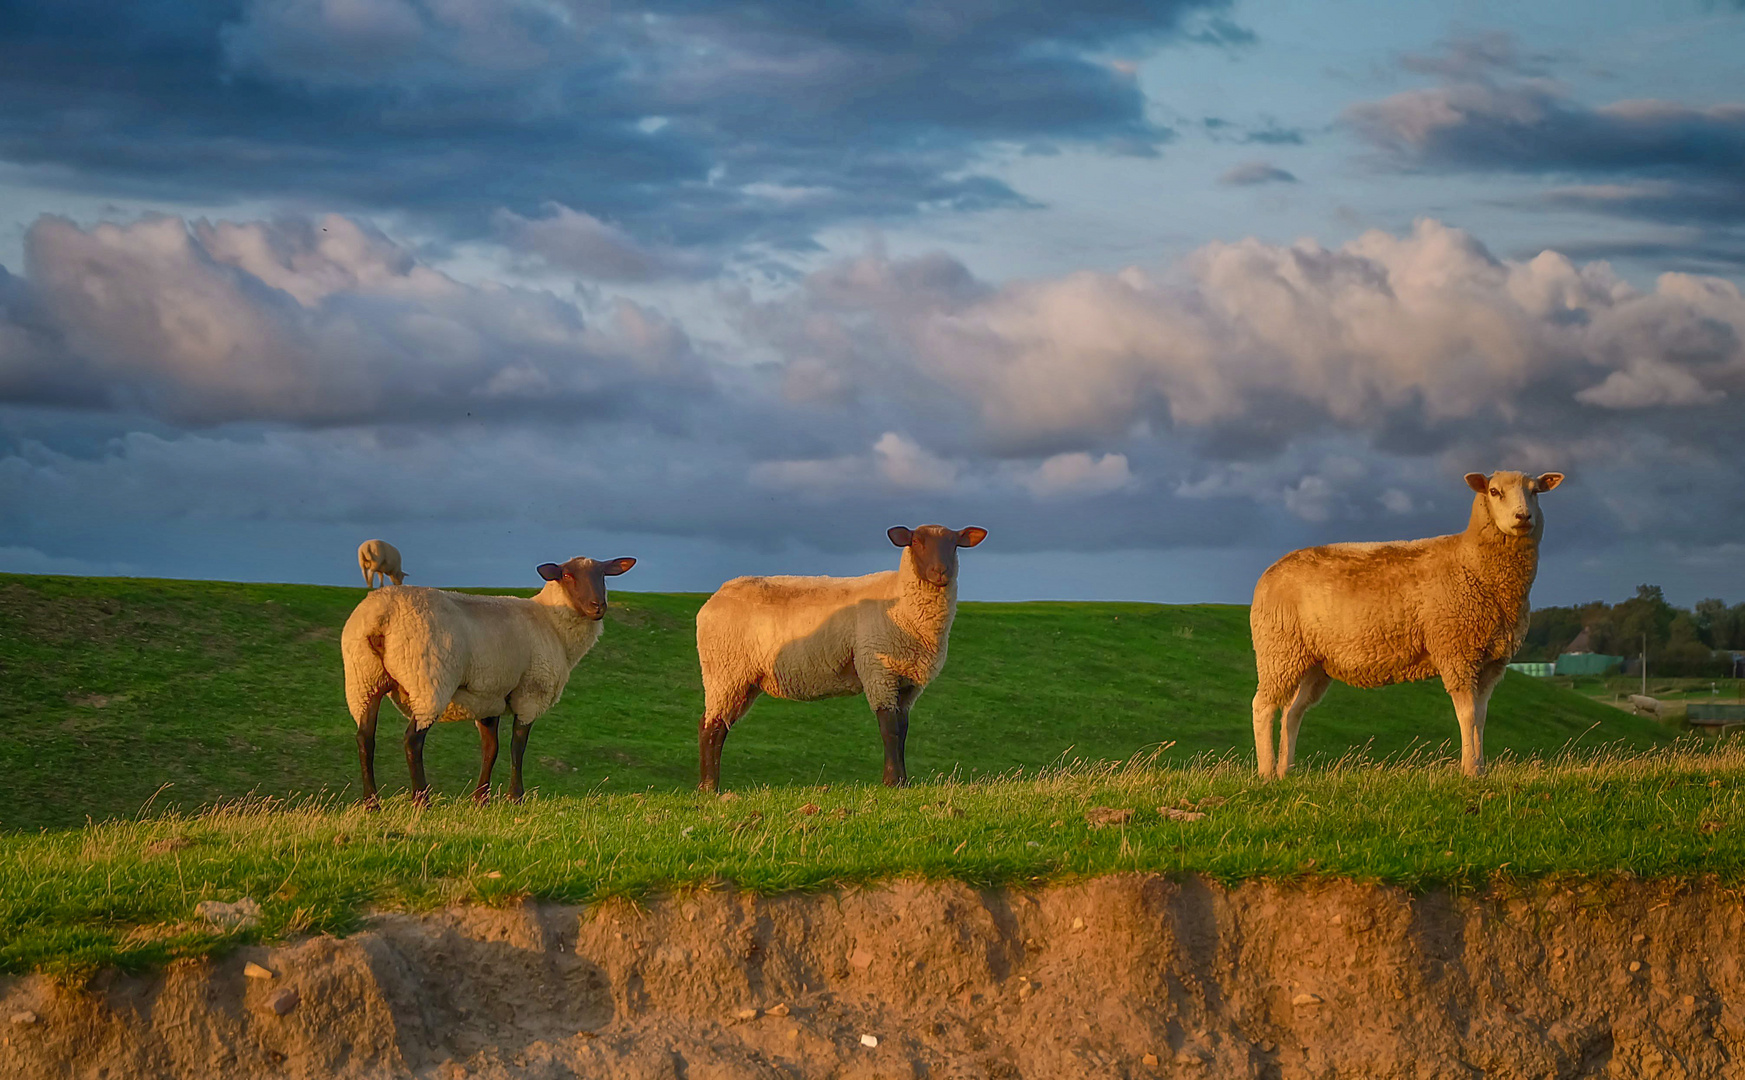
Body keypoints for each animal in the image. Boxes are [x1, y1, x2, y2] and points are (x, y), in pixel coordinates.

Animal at [340, 558, 635, 802]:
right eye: (567, 575)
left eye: (603, 575)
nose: (598, 606)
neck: (552, 623)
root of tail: (382, 617)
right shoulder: (530, 692)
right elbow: (517, 747)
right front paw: (515, 797)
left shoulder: (488, 698)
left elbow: (490, 749)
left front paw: (481, 799)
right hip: (429, 680)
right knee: (412, 741)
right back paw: (421, 801)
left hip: (364, 680)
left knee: (365, 738)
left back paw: (371, 803)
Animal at [698, 526, 998, 795]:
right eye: (916, 541)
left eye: (955, 544)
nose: (940, 572)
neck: (901, 602)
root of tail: (715, 597)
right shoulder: (878, 670)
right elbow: (888, 728)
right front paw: (892, 782)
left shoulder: (908, 681)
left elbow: (902, 730)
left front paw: (903, 781)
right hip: (723, 672)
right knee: (709, 726)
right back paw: (708, 788)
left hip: (741, 681)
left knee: (720, 727)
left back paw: (711, 785)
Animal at [1249, 467, 1563, 781]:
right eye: (1495, 491)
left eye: (1535, 491)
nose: (1523, 517)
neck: (1472, 562)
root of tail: (1269, 572)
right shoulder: (1456, 653)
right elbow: (1467, 715)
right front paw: (1470, 770)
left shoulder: (1491, 662)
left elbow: (1481, 716)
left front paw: (1480, 770)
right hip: (1279, 650)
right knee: (1263, 707)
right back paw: (1266, 773)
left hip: (1313, 662)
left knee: (1292, 712)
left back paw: (1286, 772)